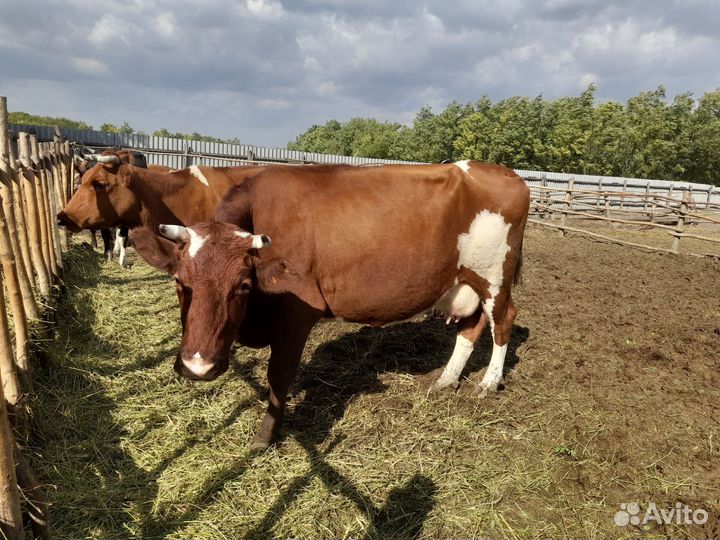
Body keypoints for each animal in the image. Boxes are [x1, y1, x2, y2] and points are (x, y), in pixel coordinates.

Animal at [130, 160, 530, 449]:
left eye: (242, 286)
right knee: (472, 326)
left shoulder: (296, 314)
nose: (197, 367)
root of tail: (498, 171)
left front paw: (266, 435)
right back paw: (447, 379)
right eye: (180, 282)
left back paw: (489, 382)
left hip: (494, 276)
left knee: (503, 320)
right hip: (466, 280)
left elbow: (279, 375)